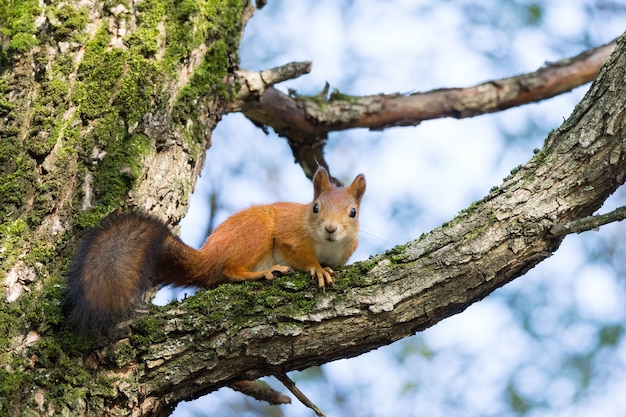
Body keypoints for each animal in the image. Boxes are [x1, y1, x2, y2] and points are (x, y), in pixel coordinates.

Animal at [65, 167, 364, 334]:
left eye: (353, 212)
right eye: (315, 207)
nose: (330, 229)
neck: (327, 246)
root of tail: (208, 256)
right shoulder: (289, 237)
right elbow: (302, 257)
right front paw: (318, 269)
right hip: (255, 233)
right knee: (228, 271)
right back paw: (262, 272)